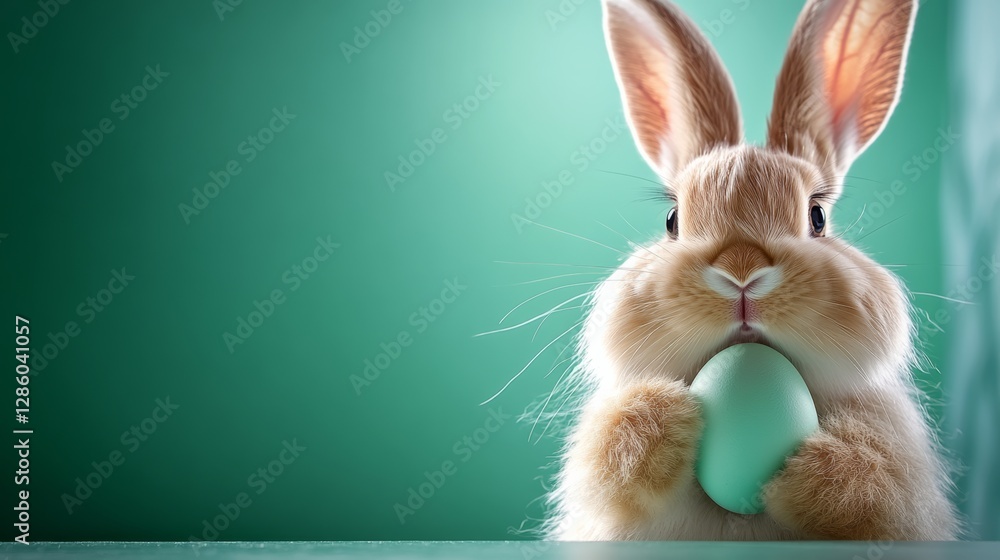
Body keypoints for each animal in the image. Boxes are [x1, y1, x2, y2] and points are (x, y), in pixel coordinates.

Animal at [546, 0, 961, 541]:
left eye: (817, 217)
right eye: (672, 220)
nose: (741, 274)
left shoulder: (899, 478)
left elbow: (866, 484)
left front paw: (804, 472)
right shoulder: (602, 485)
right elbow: (613, 459)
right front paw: (667, 412)